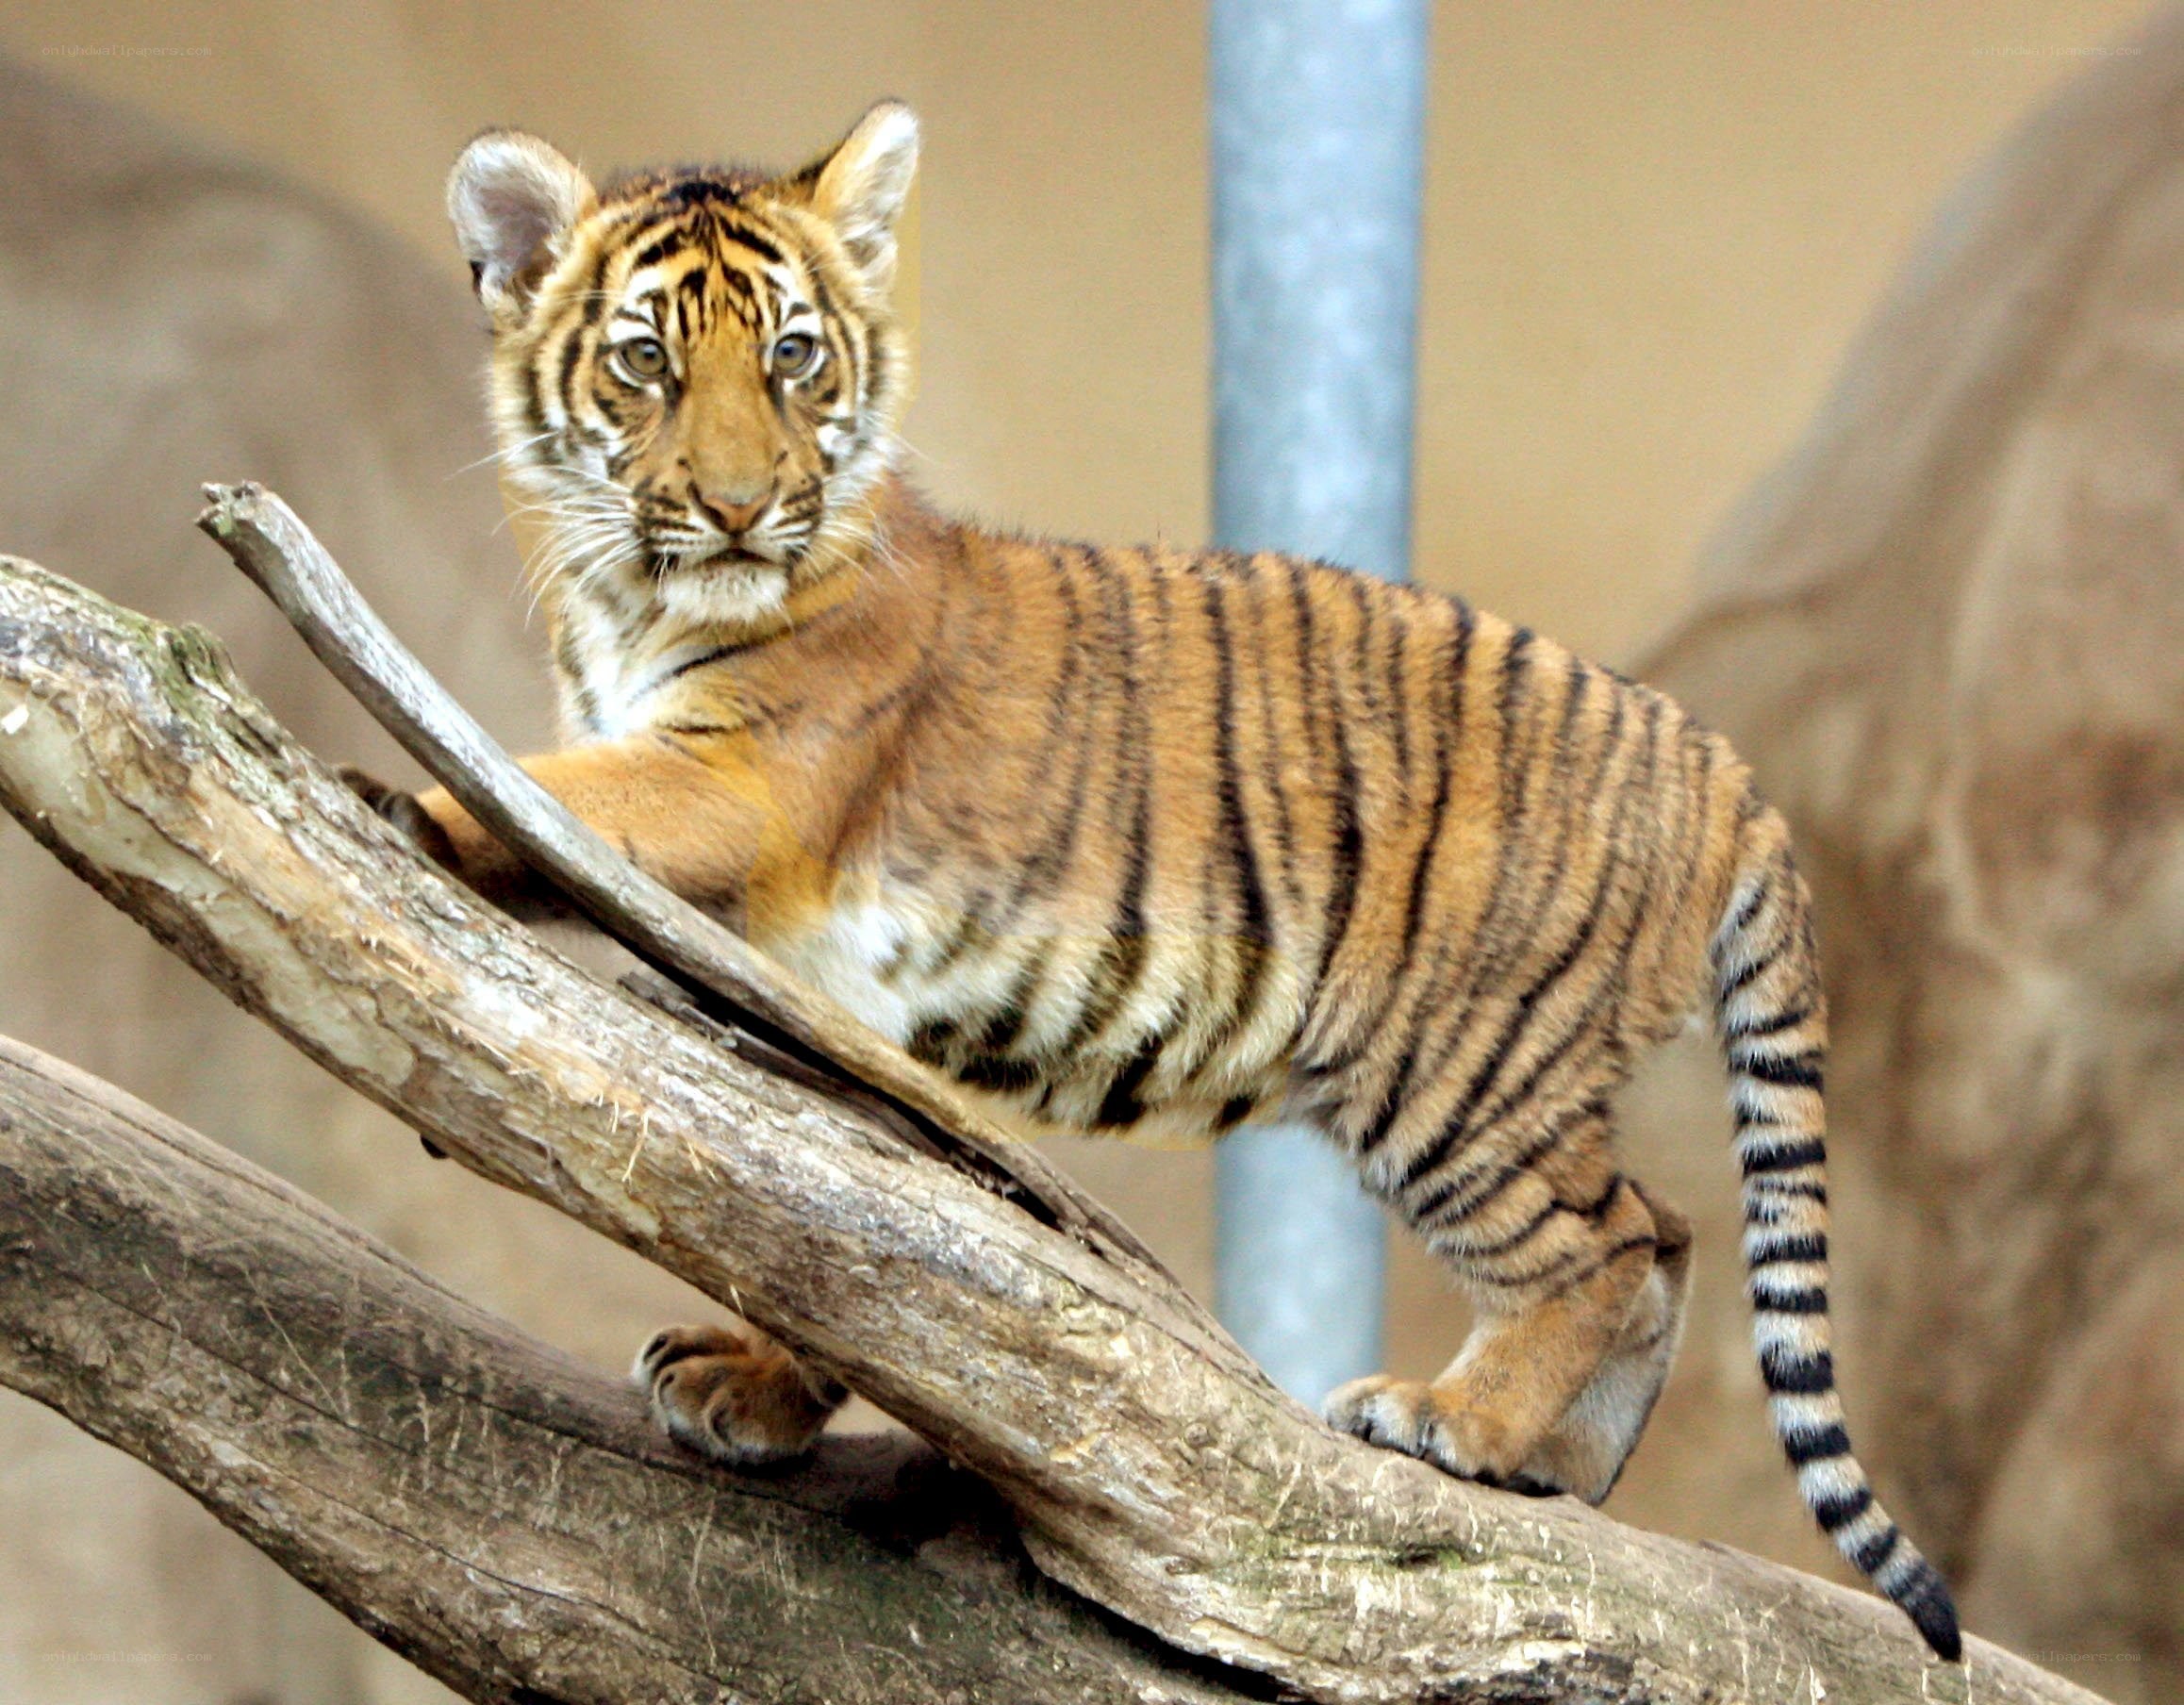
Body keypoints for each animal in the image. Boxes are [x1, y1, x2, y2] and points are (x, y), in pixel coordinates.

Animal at [343, 100, 1960, 1659]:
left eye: (795, 357)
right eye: (645, 364)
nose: (743, 509)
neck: (632, 599)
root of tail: (1719, 761)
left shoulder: (736, 787)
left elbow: (556, 808)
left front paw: (393, 804)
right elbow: (828, 1206)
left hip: (1461, 1077)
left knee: (1608, 1245)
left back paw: (1459, 1427)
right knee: (1673, 1231)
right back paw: (1554, 1473)